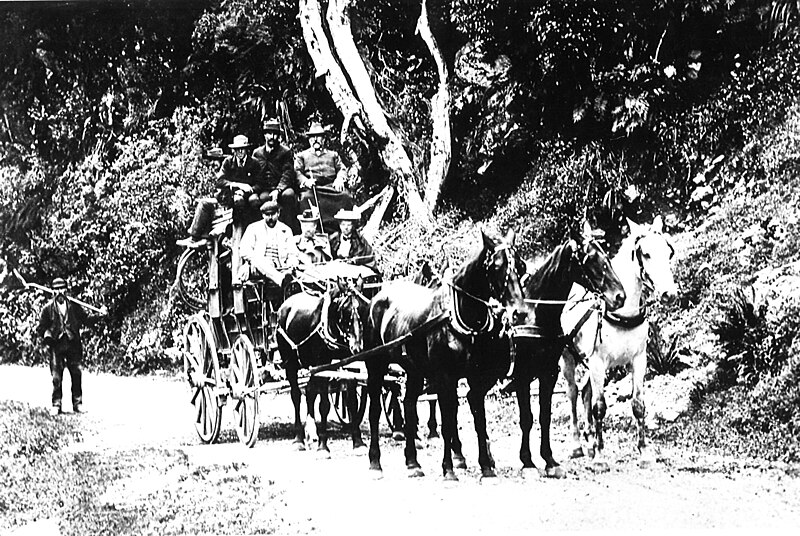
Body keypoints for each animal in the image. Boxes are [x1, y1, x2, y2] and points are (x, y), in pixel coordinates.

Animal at [276, 276, 370, 452]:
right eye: (345, 311)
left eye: (362, 308)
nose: (356, 347)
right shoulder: (324, 366)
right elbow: (324, 405)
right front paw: (323, 446)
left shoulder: (350, 365)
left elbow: (352, 402)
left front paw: (358, 442)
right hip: (290, 363)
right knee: (296, 395)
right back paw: (299, 438)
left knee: (309, 391)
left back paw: (311, 432)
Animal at [366, 228, 528, 480]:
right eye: (496, 267)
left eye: (520, 266)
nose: (519, 313)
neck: (461, 316)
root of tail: (377, 297)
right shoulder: (445, 377)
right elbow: (448, 422)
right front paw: (449, 468)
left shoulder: (475, 377)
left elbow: (478, 420)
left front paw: (485, 466)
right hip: (376, 365)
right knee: (374, 410)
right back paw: (375, 462)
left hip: (414, 371)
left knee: (409, 405)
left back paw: (412, 462)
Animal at [510, 222, 628, 478]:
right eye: (590, 259)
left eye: (607, 257)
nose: (620, 296)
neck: (535, 313)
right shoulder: (522, 374)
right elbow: (527, 418)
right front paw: (528, 462)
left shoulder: (548, 373)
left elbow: (544, 416)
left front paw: (549, 460)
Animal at [560, 216, 680, 472]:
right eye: (645, 253)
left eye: (668, 251)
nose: (669, 294)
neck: (622, 312)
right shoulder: (597, 362)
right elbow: (599, 408)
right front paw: (600, 456)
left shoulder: (638, 360)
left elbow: (638, 405)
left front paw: (643, 452)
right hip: (567, 359)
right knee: (573, 394)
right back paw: (577, 445)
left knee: (585, 392)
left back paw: (589, 440)